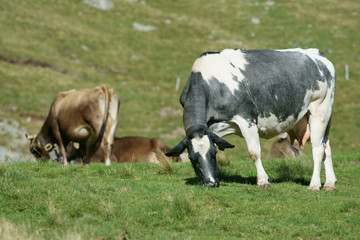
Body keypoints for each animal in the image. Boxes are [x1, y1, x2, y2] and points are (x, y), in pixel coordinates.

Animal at [166, 48, 338, 191]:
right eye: (191, 158)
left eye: (213, 153)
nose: (211, 183)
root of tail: (317, 54)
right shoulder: (214, 128)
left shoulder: (246, 118)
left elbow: (254, 152)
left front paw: (262, 181)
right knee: (326, 145)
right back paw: (329, 183)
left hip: (320, 112)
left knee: (318, 148)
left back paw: (314, 184)